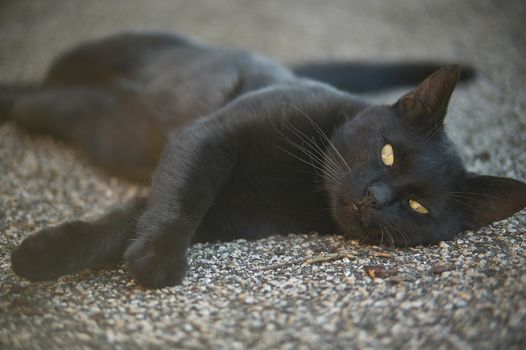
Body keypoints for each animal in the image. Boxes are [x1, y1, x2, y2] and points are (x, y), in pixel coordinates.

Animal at [2, 31, 524, 288]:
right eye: (388, 152)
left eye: (418, 207)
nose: (375, 197)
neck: (300, 183)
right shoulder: (209, 137)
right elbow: (182, 198)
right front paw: (161, 258)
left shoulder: (221, 212)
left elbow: (122, 224)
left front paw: (42, 257)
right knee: (38, 93)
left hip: (89, 119)